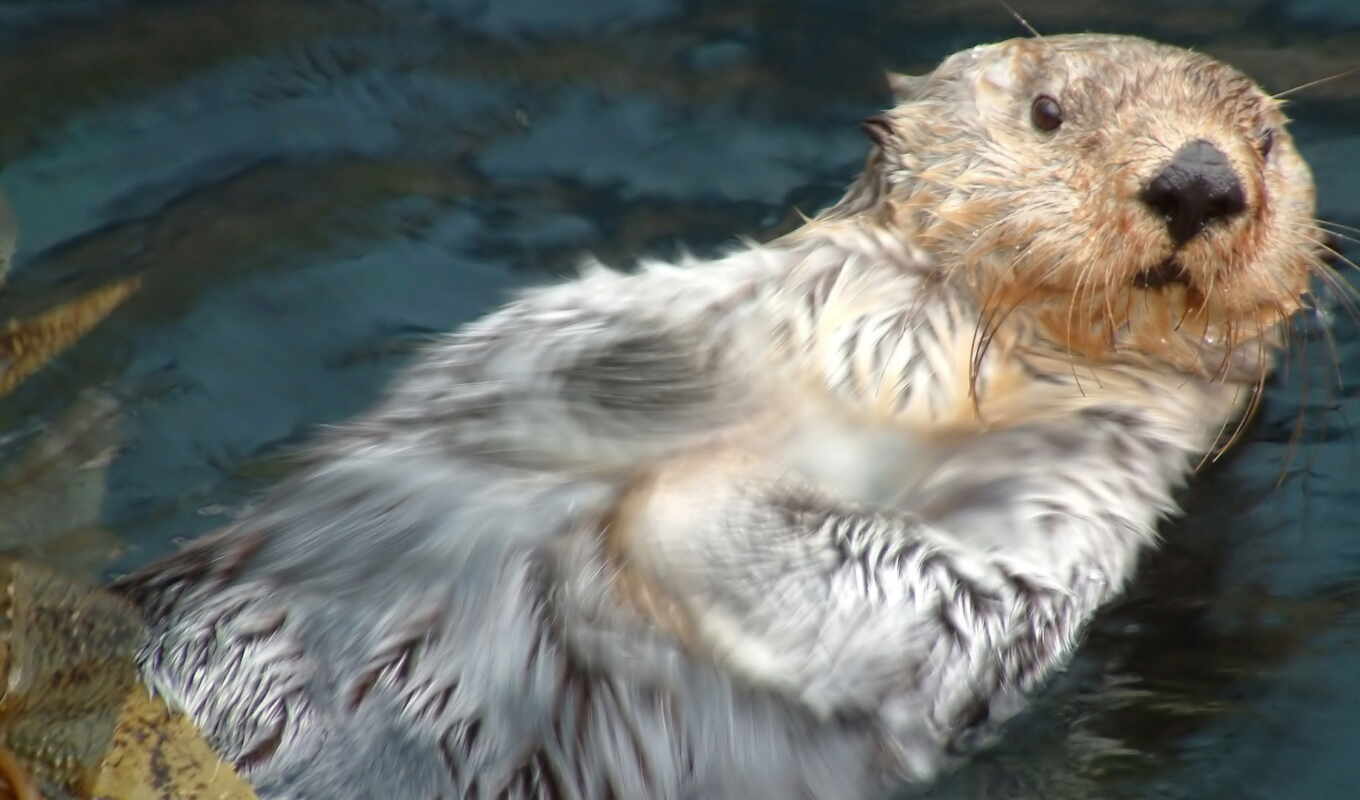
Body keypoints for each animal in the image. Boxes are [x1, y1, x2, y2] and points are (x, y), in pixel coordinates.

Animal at [116, 34, 1327, 794]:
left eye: (1265, 140)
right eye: (1048, 111)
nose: (1199, 178)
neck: (947, 381)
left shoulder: (1077, 497)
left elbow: (941, 604)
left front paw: (679, 490)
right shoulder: (744, 300)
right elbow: (547, 351)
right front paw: (645, 394)